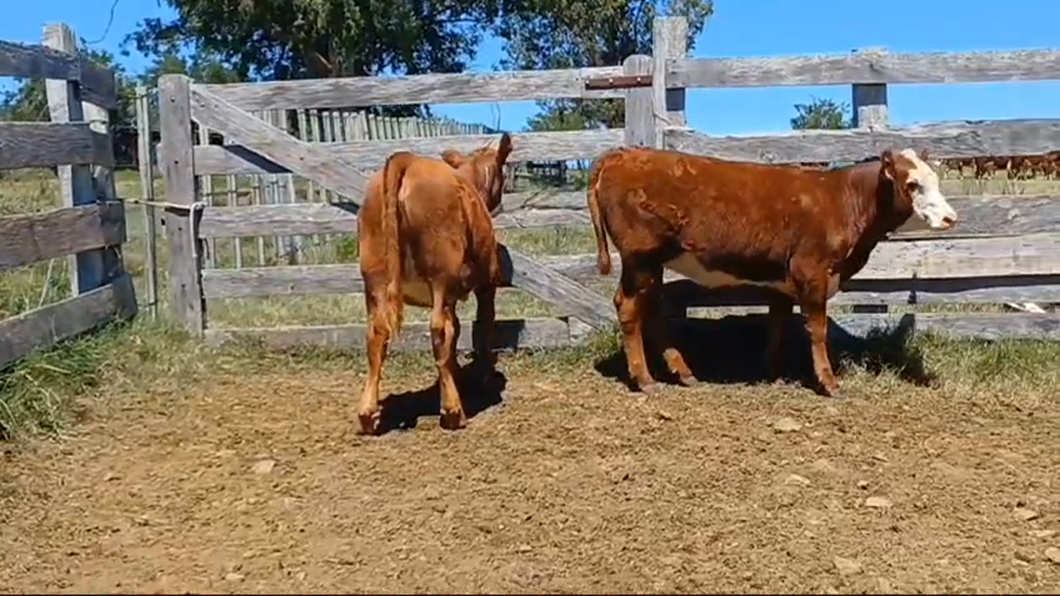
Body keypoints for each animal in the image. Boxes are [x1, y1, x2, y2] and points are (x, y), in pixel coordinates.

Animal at [356, 133, 513, 430]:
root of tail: (407, 161)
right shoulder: (485, 285)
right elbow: (482, 326)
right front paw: (482, 378)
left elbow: (457, 331)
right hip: (441, 275)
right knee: (439, 329)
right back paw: (453, 411)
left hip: (375, 279)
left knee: (376, 333)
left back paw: (368, 414)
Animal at [585, 145, 958, 394]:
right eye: (912, 184)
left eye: (937, 180)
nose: (950, 217)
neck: (841, 199)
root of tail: (620, 154)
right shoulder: (812, 271)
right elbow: (817, 330)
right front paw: (828, 382)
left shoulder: (784, 281)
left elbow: (778, 324)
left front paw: (774, 372)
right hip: (639, 258)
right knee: (628, 307)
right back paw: (645, 379)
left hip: (653, 263)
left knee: (652, 311)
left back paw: (684, 373)